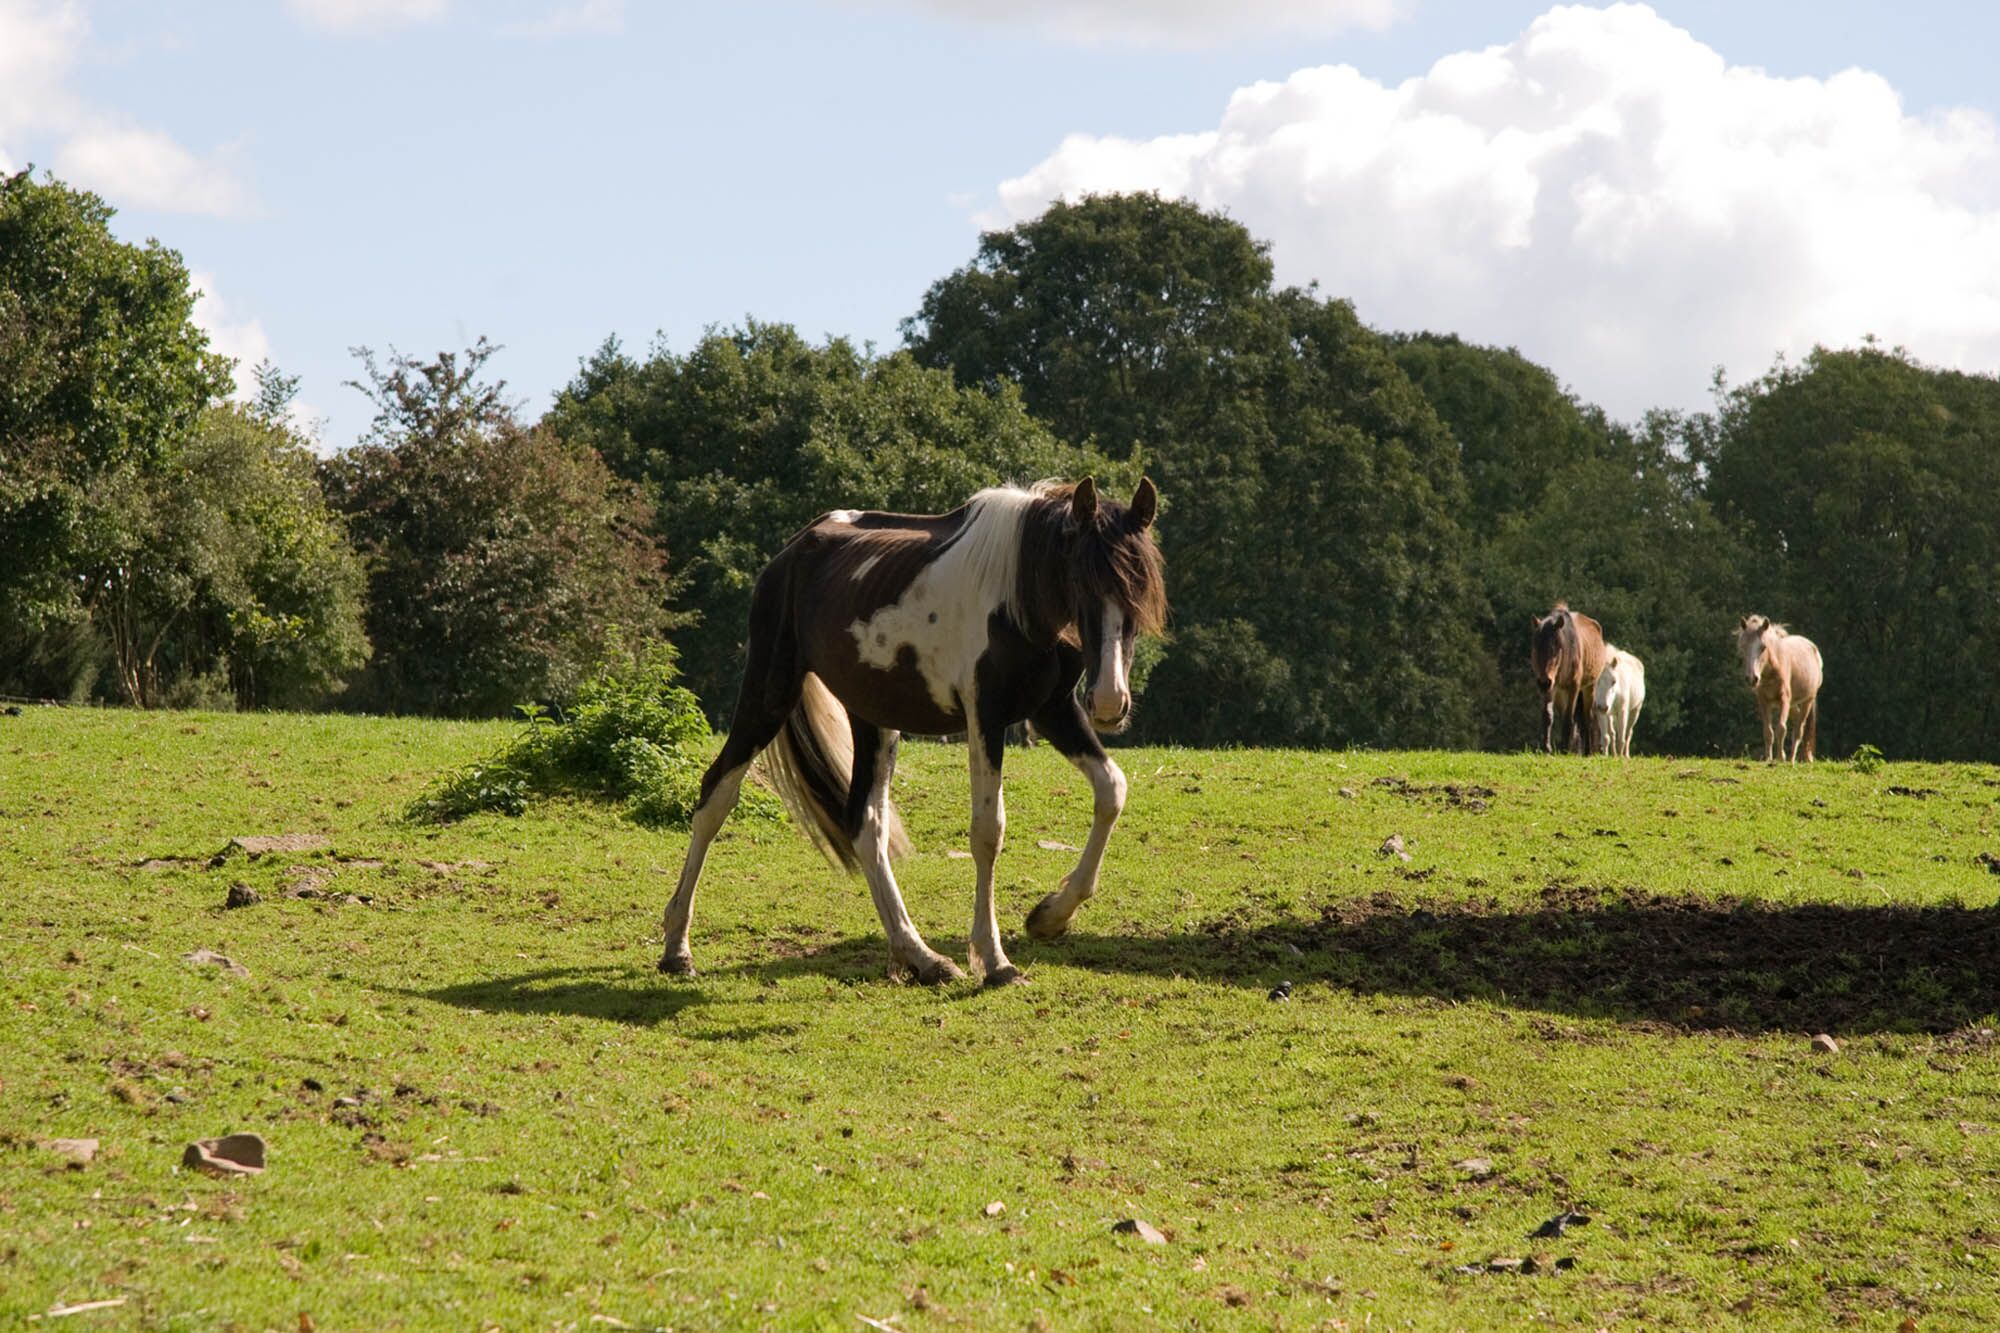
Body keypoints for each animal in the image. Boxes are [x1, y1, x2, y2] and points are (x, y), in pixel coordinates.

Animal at [660, 478, 1160, 984]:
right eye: (1079, 581)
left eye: (1141, 587)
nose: (1109, 702)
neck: (1018, 594)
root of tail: (793, 551)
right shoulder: (986, 716)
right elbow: (988, 831)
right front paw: (994, 960)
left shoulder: (1053, 709)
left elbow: (1112, 789)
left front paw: (1051, 915)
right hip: (768, 694)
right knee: (716, 798)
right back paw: (677, 948)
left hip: (873, 718)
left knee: (866, 823)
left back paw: (921, 956)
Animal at [1528, 600, 1608, 752]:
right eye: (1535, 648)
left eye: (1556, 648)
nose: (1544, 682)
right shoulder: (1552, 688)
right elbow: (1548, 715)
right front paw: (1546, 748)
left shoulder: (1573, 687)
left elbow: (1568, 718)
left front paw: (1564, 748)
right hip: (1561, 693)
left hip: (1589, 687)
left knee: (1587, 717)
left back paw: (1587, 751)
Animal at [1744, 612, 1824, 756]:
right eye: (1743, 647)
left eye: (1763, 647)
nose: (1752, 678)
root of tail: (1813, 649)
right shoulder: (1763, 701)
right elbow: (1768, 732)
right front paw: (1768, 758)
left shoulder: (1784, 700)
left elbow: (1781, 729)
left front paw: (1780, 757)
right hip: (1793, 704)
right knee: (1798, 722)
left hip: (1808, 700)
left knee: (1798, 731)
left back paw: (1792, 758)